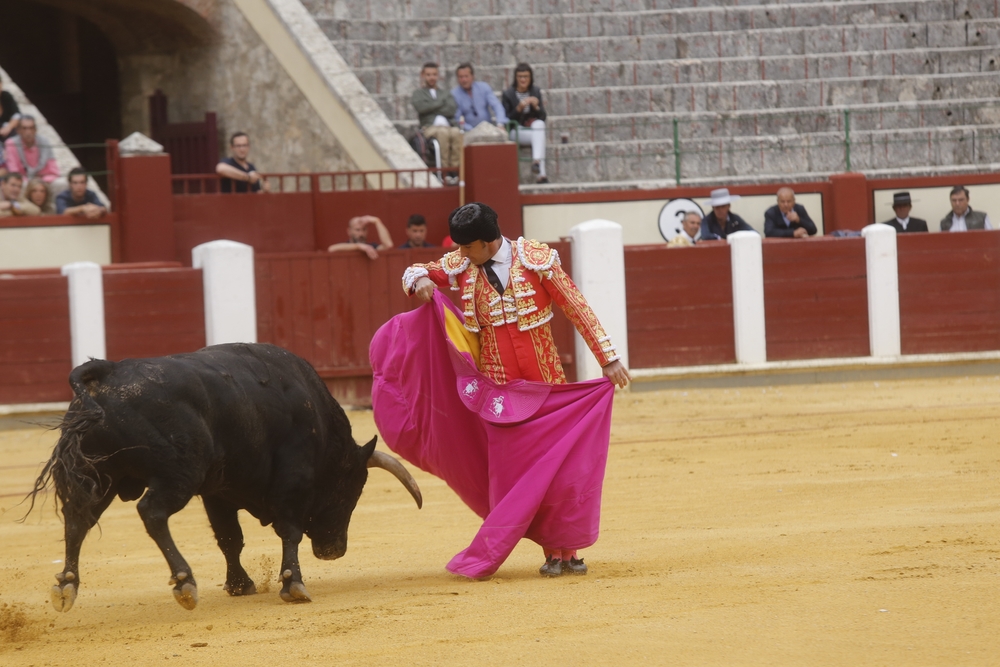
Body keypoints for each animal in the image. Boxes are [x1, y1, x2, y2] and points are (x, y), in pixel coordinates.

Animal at [26, 344, 418, 612]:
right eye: (351, 490)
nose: (334, 550)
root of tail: (106, 372)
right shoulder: (293, 481)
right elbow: (288, 531)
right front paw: (293, 584)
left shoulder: (218, 492)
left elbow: (230, 539)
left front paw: (240, 584)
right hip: (178, 474)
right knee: (151, 512)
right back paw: (184, 582)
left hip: (98, 475)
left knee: (78, 520)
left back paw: (67, 586)